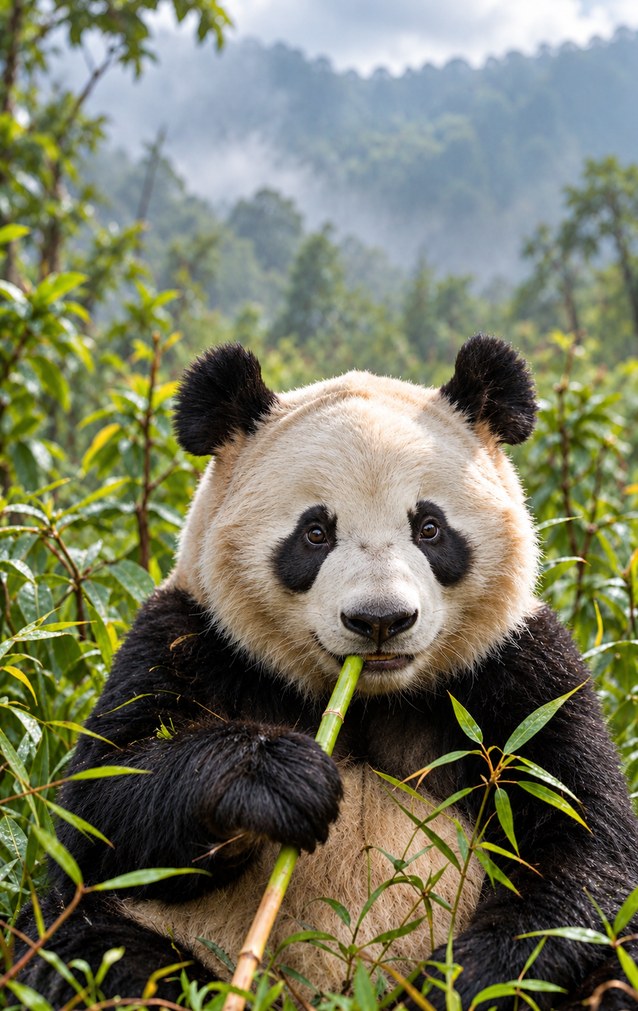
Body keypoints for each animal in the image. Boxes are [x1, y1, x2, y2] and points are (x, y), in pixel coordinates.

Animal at [20, 335, 638, 1008]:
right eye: (315, 533)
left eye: (430, 528)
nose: (380, 619)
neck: (369, 698)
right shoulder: (188, 639)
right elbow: (100, 808)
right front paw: (277, 778)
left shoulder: (521, 669)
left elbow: (583, 842)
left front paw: (461, 980)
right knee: (94, 952)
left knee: (617, 962)